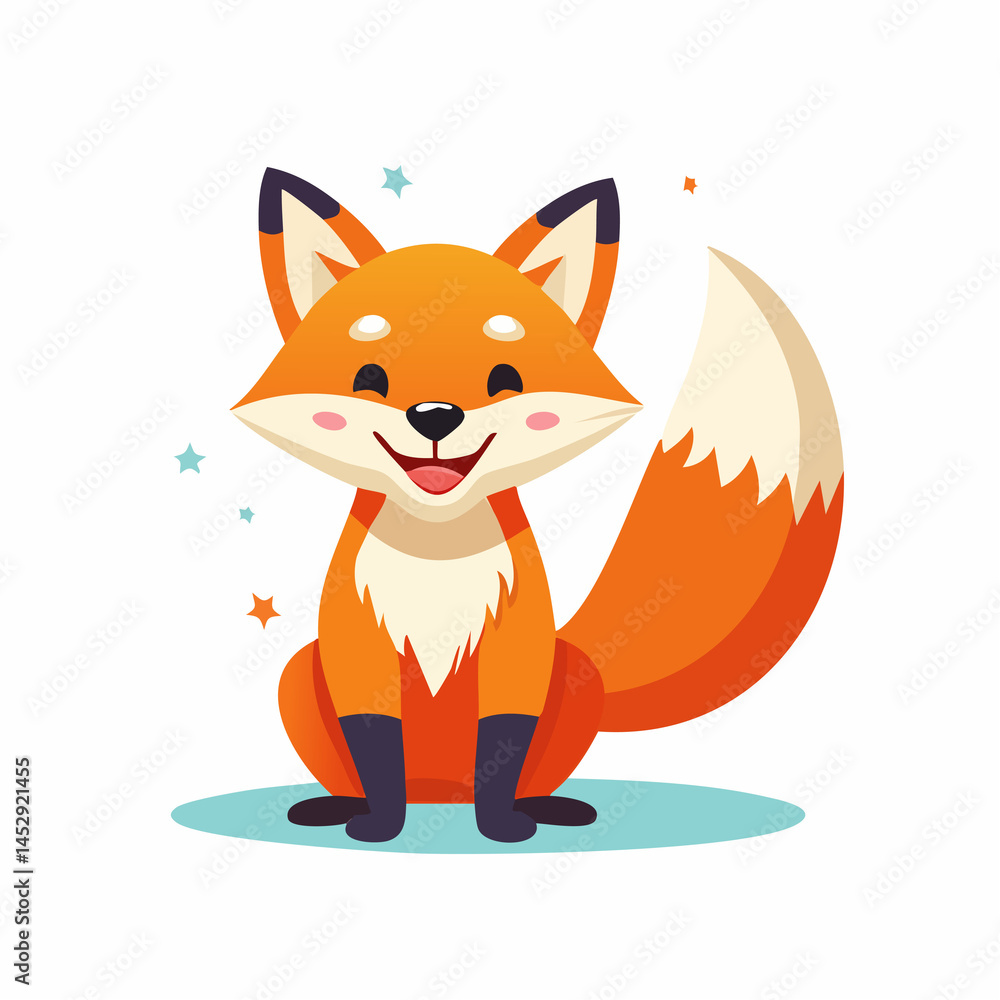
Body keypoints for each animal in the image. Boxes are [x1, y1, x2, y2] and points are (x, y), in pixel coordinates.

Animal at [233, 168, 844, 843]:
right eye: (370, 376)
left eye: (506, 378)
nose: (435, 415)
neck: (438, 553)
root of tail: (439, 794)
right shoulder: (358, 651)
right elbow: (376, 745)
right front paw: (380, 827)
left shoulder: (519, 650)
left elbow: (504, 742)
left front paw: (501, 827)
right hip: (297, 675)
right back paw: (338, 806)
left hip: (574, 677)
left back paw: (550, 808)